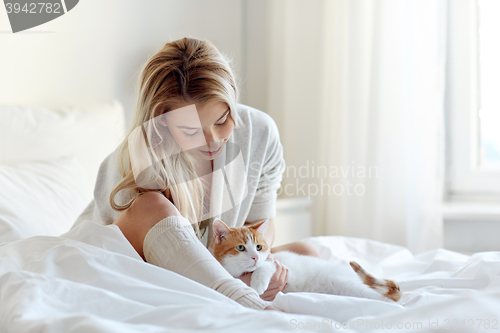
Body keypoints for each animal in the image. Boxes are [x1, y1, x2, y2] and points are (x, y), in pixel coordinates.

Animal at [210, 218, 402, 300]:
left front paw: (257, 284)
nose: (255, 257)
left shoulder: (279, 265)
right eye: (240, 248)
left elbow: (264, 267)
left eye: (259, 247)